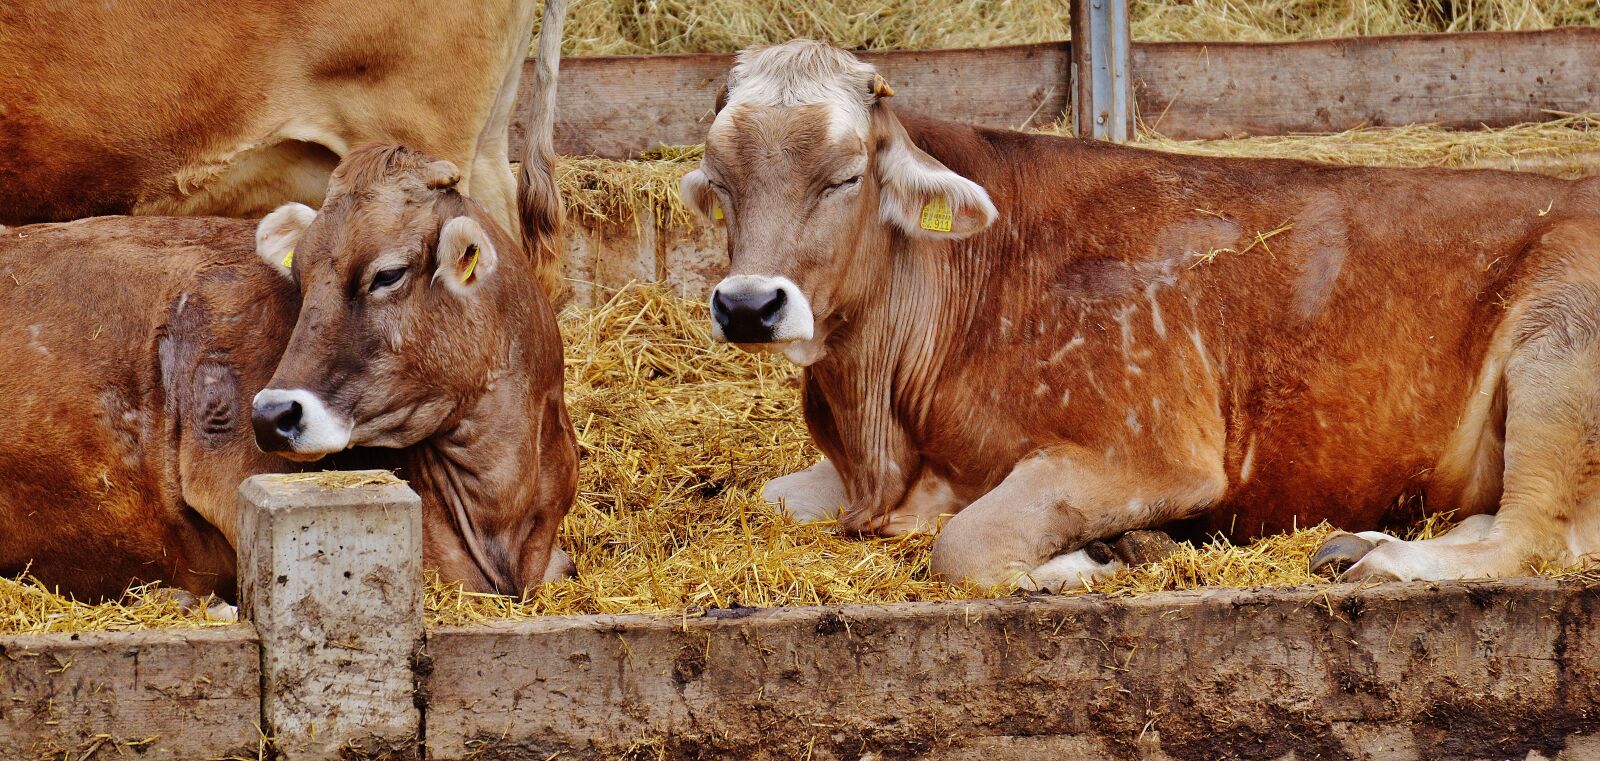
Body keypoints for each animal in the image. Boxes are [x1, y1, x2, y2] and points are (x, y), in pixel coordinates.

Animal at [680, 39, 1600, 589]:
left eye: (844, 177)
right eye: (718, 182)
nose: (749, 304)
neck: (885, 436)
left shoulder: (1150, 451)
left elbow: (963, 546)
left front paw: (1090, 561)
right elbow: (767, 495)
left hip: (1559, 347)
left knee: (1534, 535)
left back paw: (1372, 560)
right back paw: (1361, 542)